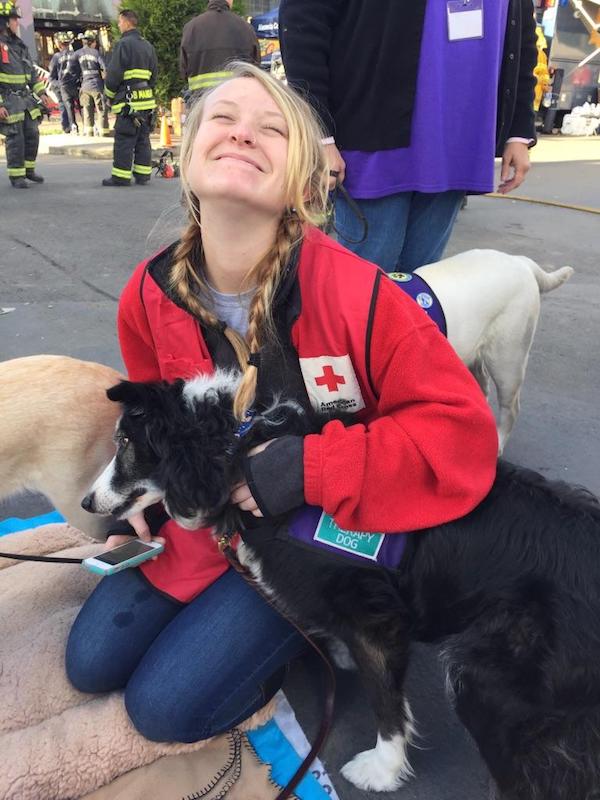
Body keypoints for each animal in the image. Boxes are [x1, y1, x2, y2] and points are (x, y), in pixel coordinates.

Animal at [82, 370, 600, 800]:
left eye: (125, 441)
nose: (87, 502)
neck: (235, 449)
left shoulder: (374, 616)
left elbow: (387, 701)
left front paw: (383, 770)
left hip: (493, 684)